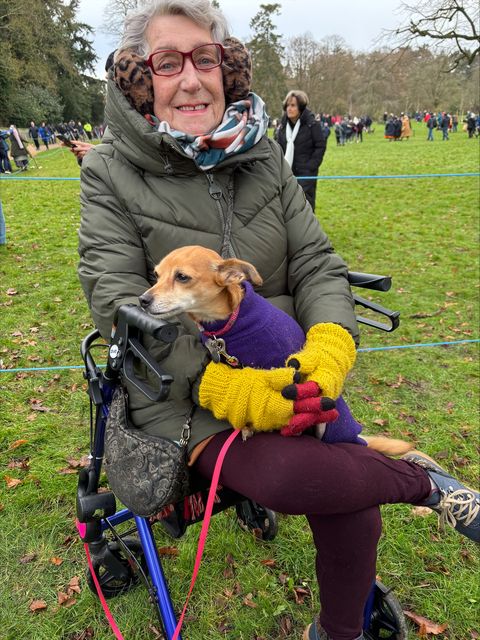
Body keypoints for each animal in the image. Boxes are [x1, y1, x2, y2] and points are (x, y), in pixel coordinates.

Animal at [139, 244, 412, 456]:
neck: (230, 322)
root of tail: (358, 437)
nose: (142, 300)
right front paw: (248, 425)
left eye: (182, 277)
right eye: (156, 275)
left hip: (328, 418)